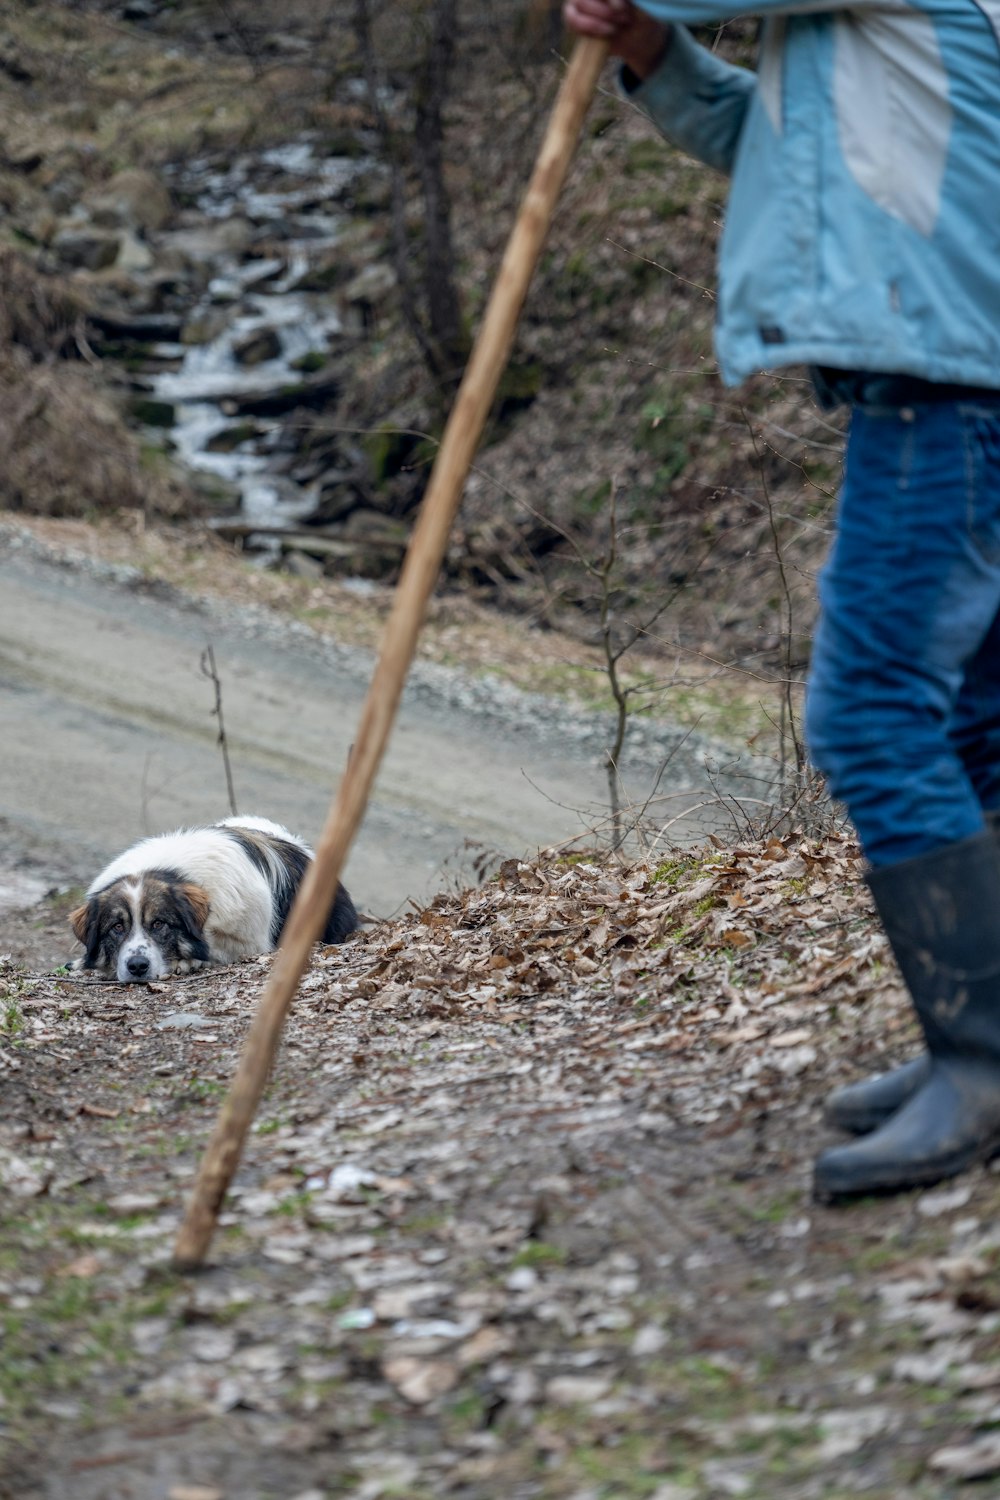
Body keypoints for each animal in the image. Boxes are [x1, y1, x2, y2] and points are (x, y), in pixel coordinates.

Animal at [69, 810, 355, 984]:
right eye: (117, 927)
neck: (173, 872)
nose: (137, 966)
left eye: (159, 924)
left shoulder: (251, 943)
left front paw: (187, 961)